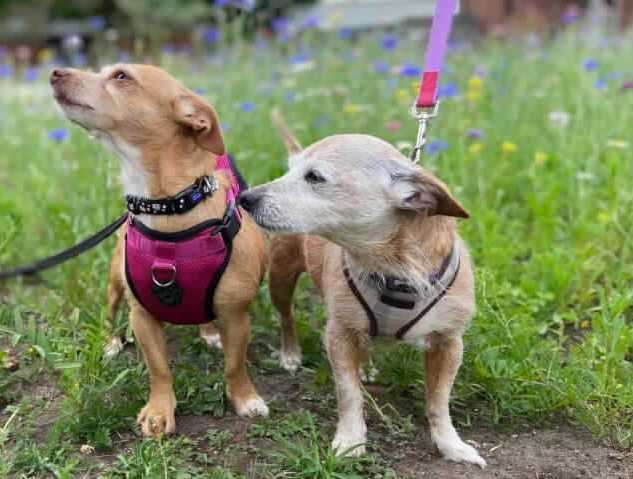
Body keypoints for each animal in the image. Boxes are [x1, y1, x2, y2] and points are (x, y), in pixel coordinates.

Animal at [50, 64, 266, 438]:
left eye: (121, 76)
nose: (55, 72)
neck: (169, 207)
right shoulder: (142, 316)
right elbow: (159, 369)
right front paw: (159, 411)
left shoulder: (237, 316)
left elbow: (234, 365)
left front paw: (244, 398)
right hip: (114, 284)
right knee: (109, 313)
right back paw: (111, 342)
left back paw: (209, 333)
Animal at [239, 114, 486, 466]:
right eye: (289, 171)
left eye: (314, 177)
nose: (246, 198)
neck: (392, 269)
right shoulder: (339, 336)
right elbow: (349, 393)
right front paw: (350, 441)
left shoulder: (449, 344)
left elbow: (439, 401)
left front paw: (451, 445)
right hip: (282, 277)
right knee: (286, 316)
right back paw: (290, 354)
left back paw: (366, 365)